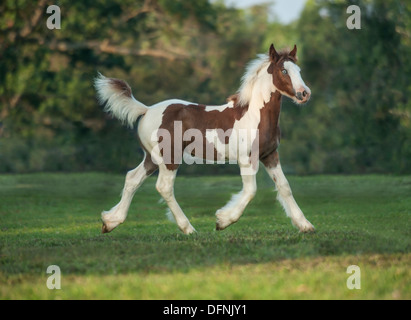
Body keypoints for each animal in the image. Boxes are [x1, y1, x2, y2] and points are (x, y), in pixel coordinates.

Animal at [96, 43, 316, 235]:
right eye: (284, 71)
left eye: (299, 69)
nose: (304, 94)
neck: (254, 115)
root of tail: (147, 110)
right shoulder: (246, 159)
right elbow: (251, 191)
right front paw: (222, 220)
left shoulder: (270, 155)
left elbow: (284, 187)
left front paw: (305, 225)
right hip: (170, 158)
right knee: (164, 187)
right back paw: (189, 229)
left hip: (151, 158)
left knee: (132, 178)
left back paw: (110, 221)